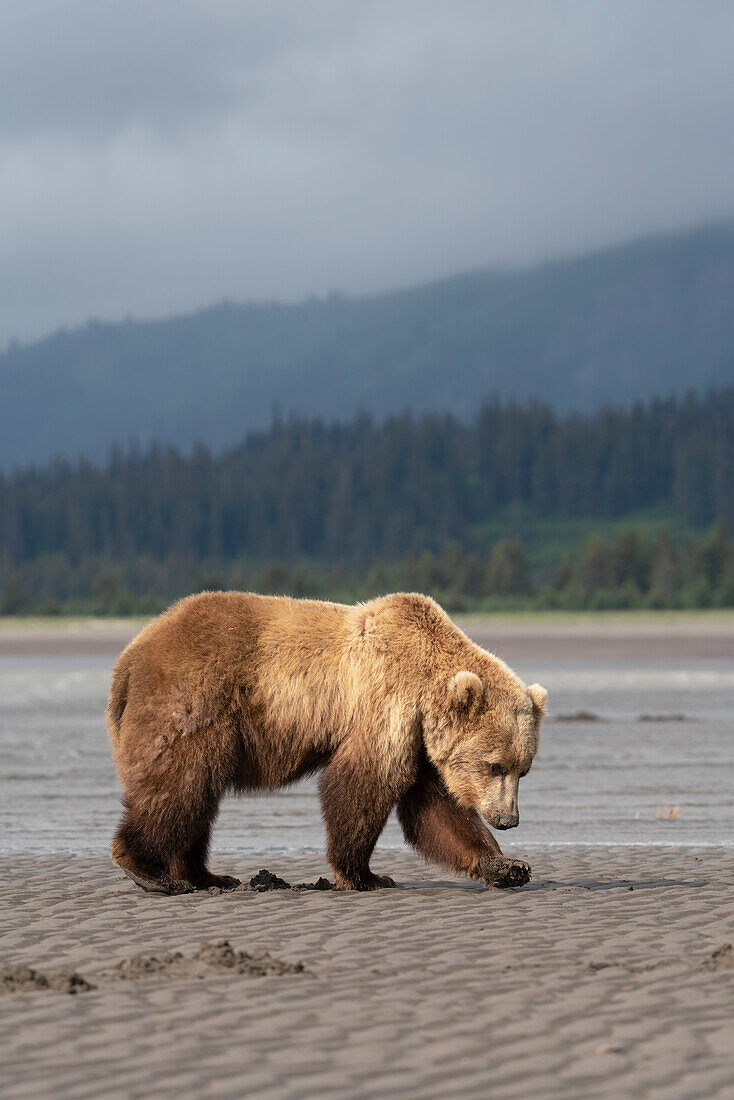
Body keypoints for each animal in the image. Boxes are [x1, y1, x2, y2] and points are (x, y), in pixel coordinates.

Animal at [107, 594, 545, 893]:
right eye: (495, 765)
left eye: (523, 769)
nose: (508, 819)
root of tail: (128, 659)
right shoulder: (385, 703)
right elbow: (362, 785)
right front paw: (365, 874)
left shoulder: (419, 740)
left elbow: (436, 809)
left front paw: (506, 866)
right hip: (193, 700)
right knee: (181, 783)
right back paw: (148, 870)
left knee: (197, 795)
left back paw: (207, 875)